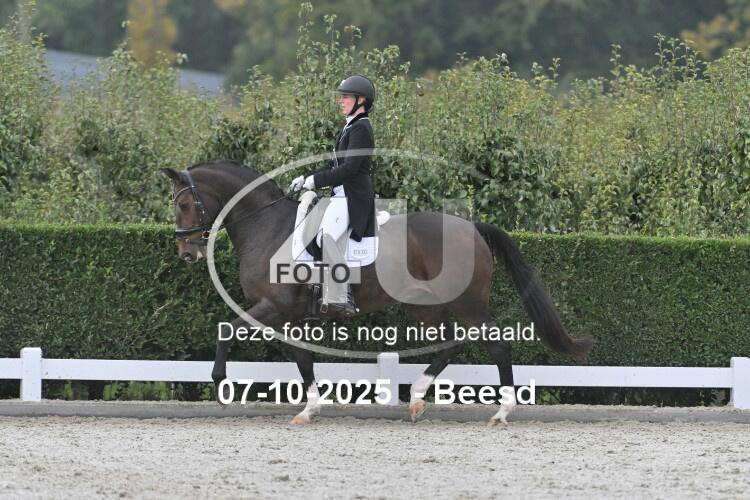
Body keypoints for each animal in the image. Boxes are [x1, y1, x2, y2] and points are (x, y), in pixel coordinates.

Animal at [162, 159, 593, 427]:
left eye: (183, 204)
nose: (187, 253)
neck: (267, 226)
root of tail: (471, 228)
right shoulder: (288, 316)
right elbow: (302, 358)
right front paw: (310, 410)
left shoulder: (270, 307)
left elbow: (226, 331)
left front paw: (221, 385)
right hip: (426, 306)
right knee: (451, 342)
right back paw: (417, 397)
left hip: (466, 303)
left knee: (496, 342)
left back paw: (501, 414)